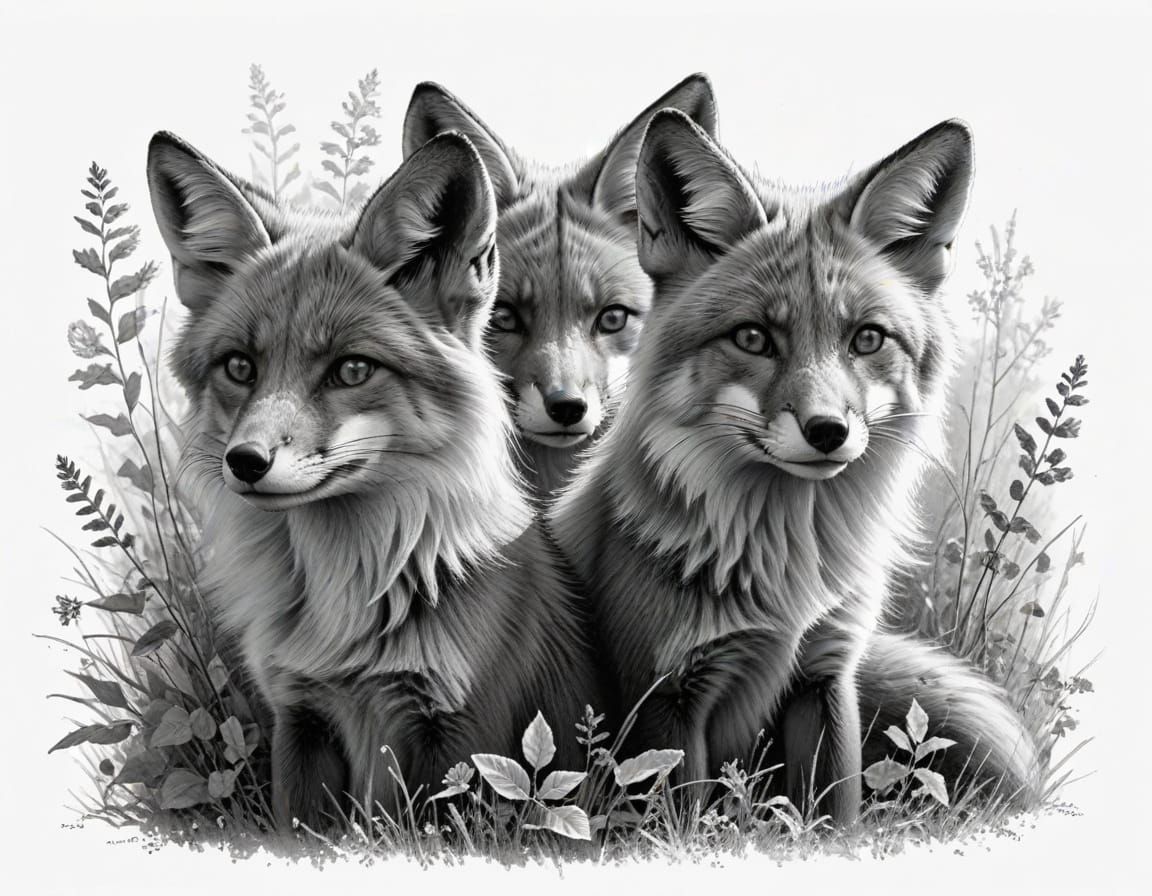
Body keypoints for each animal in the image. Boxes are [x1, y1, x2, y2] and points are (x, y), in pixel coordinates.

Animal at [550, 110, 1040, 825]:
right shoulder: (665, 696)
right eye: (754, 337)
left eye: (867, 338)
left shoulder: (826, 677)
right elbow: (680, 822)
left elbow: (836, 815)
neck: (785, 574)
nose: (828, 431)